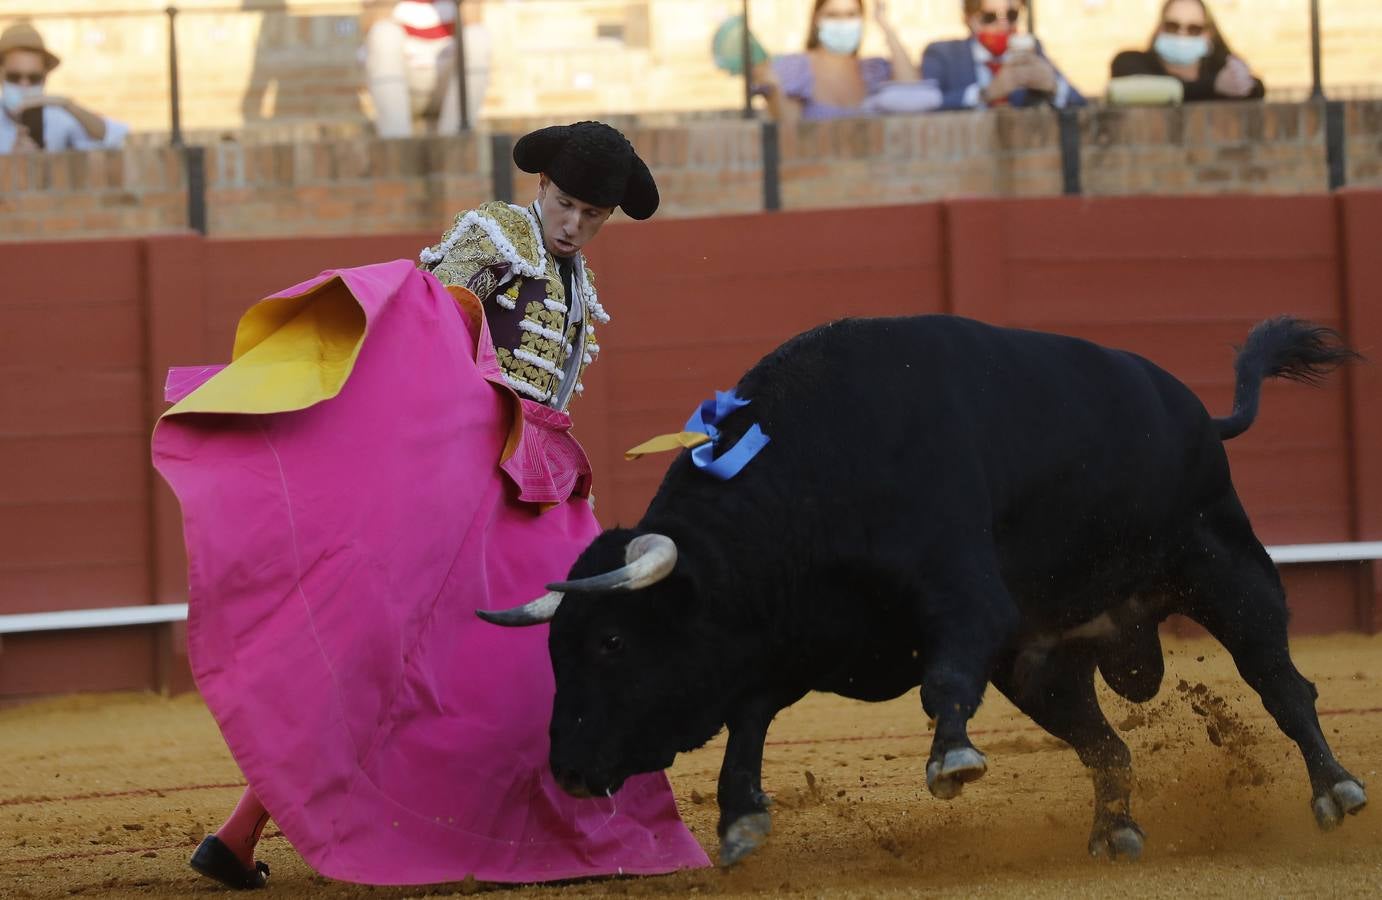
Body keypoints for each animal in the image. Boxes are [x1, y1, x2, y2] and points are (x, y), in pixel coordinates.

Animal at [480, 316, 1365, 868]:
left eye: (611, 642)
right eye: (558, 650)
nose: (567, 770)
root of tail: (1201, 416)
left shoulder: (963, 597)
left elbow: (944, 677)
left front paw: (952, 762)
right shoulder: (800, 636)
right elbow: (749, 715)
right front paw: (739, 820)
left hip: (1225, 570)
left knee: (1283, 685)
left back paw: (1336, 791)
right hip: (1041, 666)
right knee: (1104, 744)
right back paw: (1114, 833)